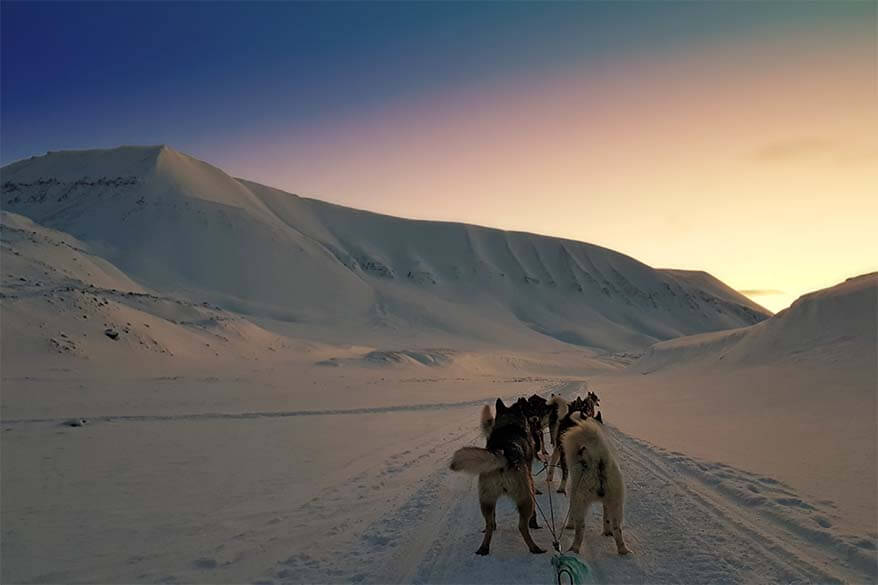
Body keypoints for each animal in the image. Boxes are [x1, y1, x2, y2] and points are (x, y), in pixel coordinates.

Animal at [450, 400, 548, 556]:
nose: (535, 419)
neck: (509, 426)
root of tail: (504, 456)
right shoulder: (530, 480)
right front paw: (534, 523)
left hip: (487, 500)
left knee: (489, 524)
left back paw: (484, 547)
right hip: (526, 499)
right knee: (522, 526)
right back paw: (535, 547)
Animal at [560, 418, 628, 556]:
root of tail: (599, 461)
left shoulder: (574, 495)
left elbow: (571, 513)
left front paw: (569, 525)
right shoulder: (607, 503)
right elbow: (606, 518)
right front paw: (607, 533)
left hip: (581, 501)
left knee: (580, 529)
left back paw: (574, 549)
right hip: (616, 504)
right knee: (617, 529)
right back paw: (623, 550)